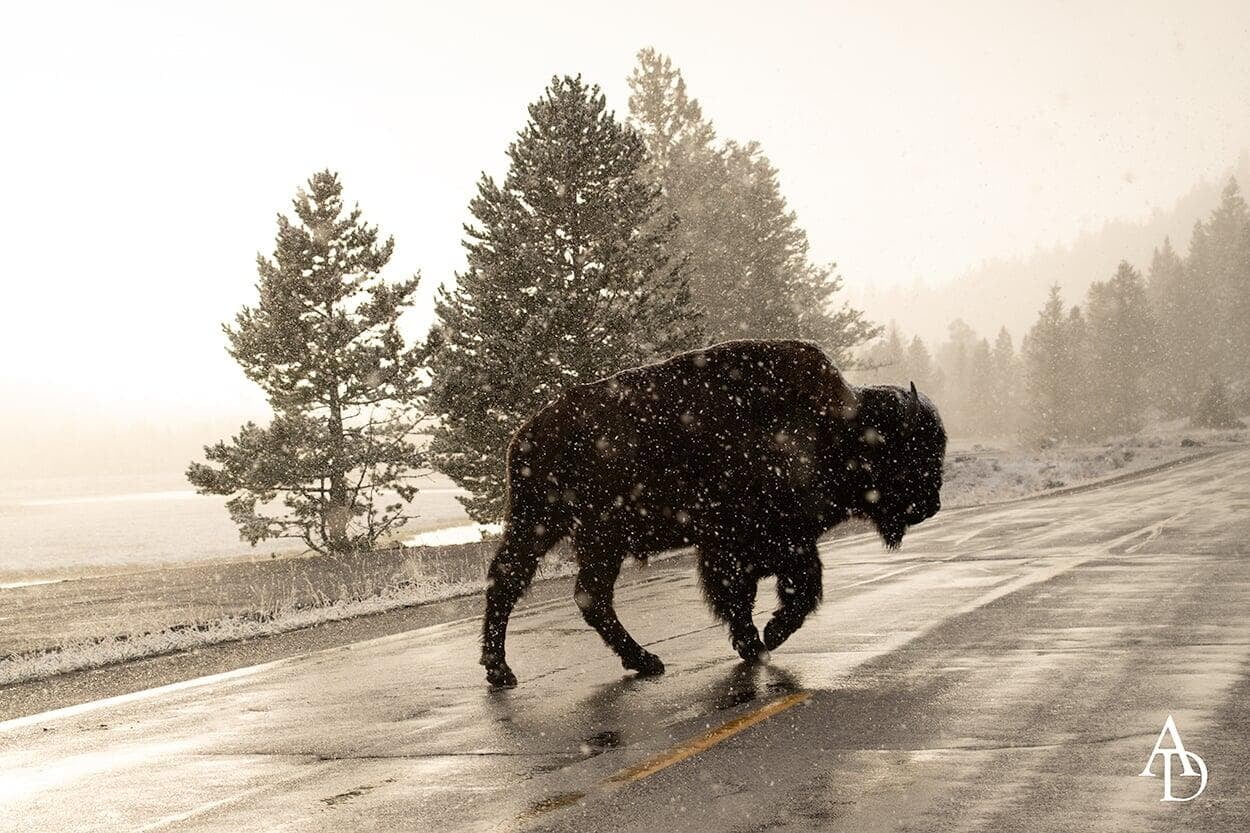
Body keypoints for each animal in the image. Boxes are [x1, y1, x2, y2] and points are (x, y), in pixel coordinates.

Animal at [480, 339, 946, 687]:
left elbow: (768, 591)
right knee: (571, 592)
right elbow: (790, 589)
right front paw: (765, 639)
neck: (835, 427)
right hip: (591, 535)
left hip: (552, 529)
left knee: (526, 584)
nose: (933, 504)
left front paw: (754, 642)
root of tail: (527, 434)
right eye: (914, 450)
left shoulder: (759, 546)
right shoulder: (756, 543)